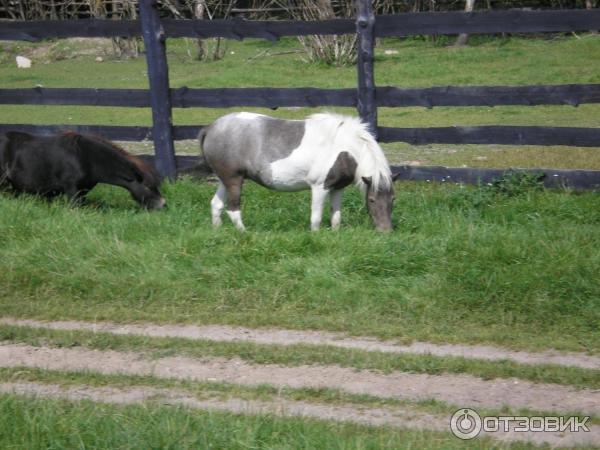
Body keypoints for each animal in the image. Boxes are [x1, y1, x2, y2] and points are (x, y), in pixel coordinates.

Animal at [199, 112, 396, 232]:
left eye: (393, 199)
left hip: (225, 180)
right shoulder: (319, 187)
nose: (385, 231)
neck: (343, 148)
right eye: (372, 200)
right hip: (234, 180)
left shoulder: (337, 189)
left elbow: (336, 216)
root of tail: (211, 127)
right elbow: (316, 218)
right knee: (233, 209)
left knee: (216, 205)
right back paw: (244, 233)